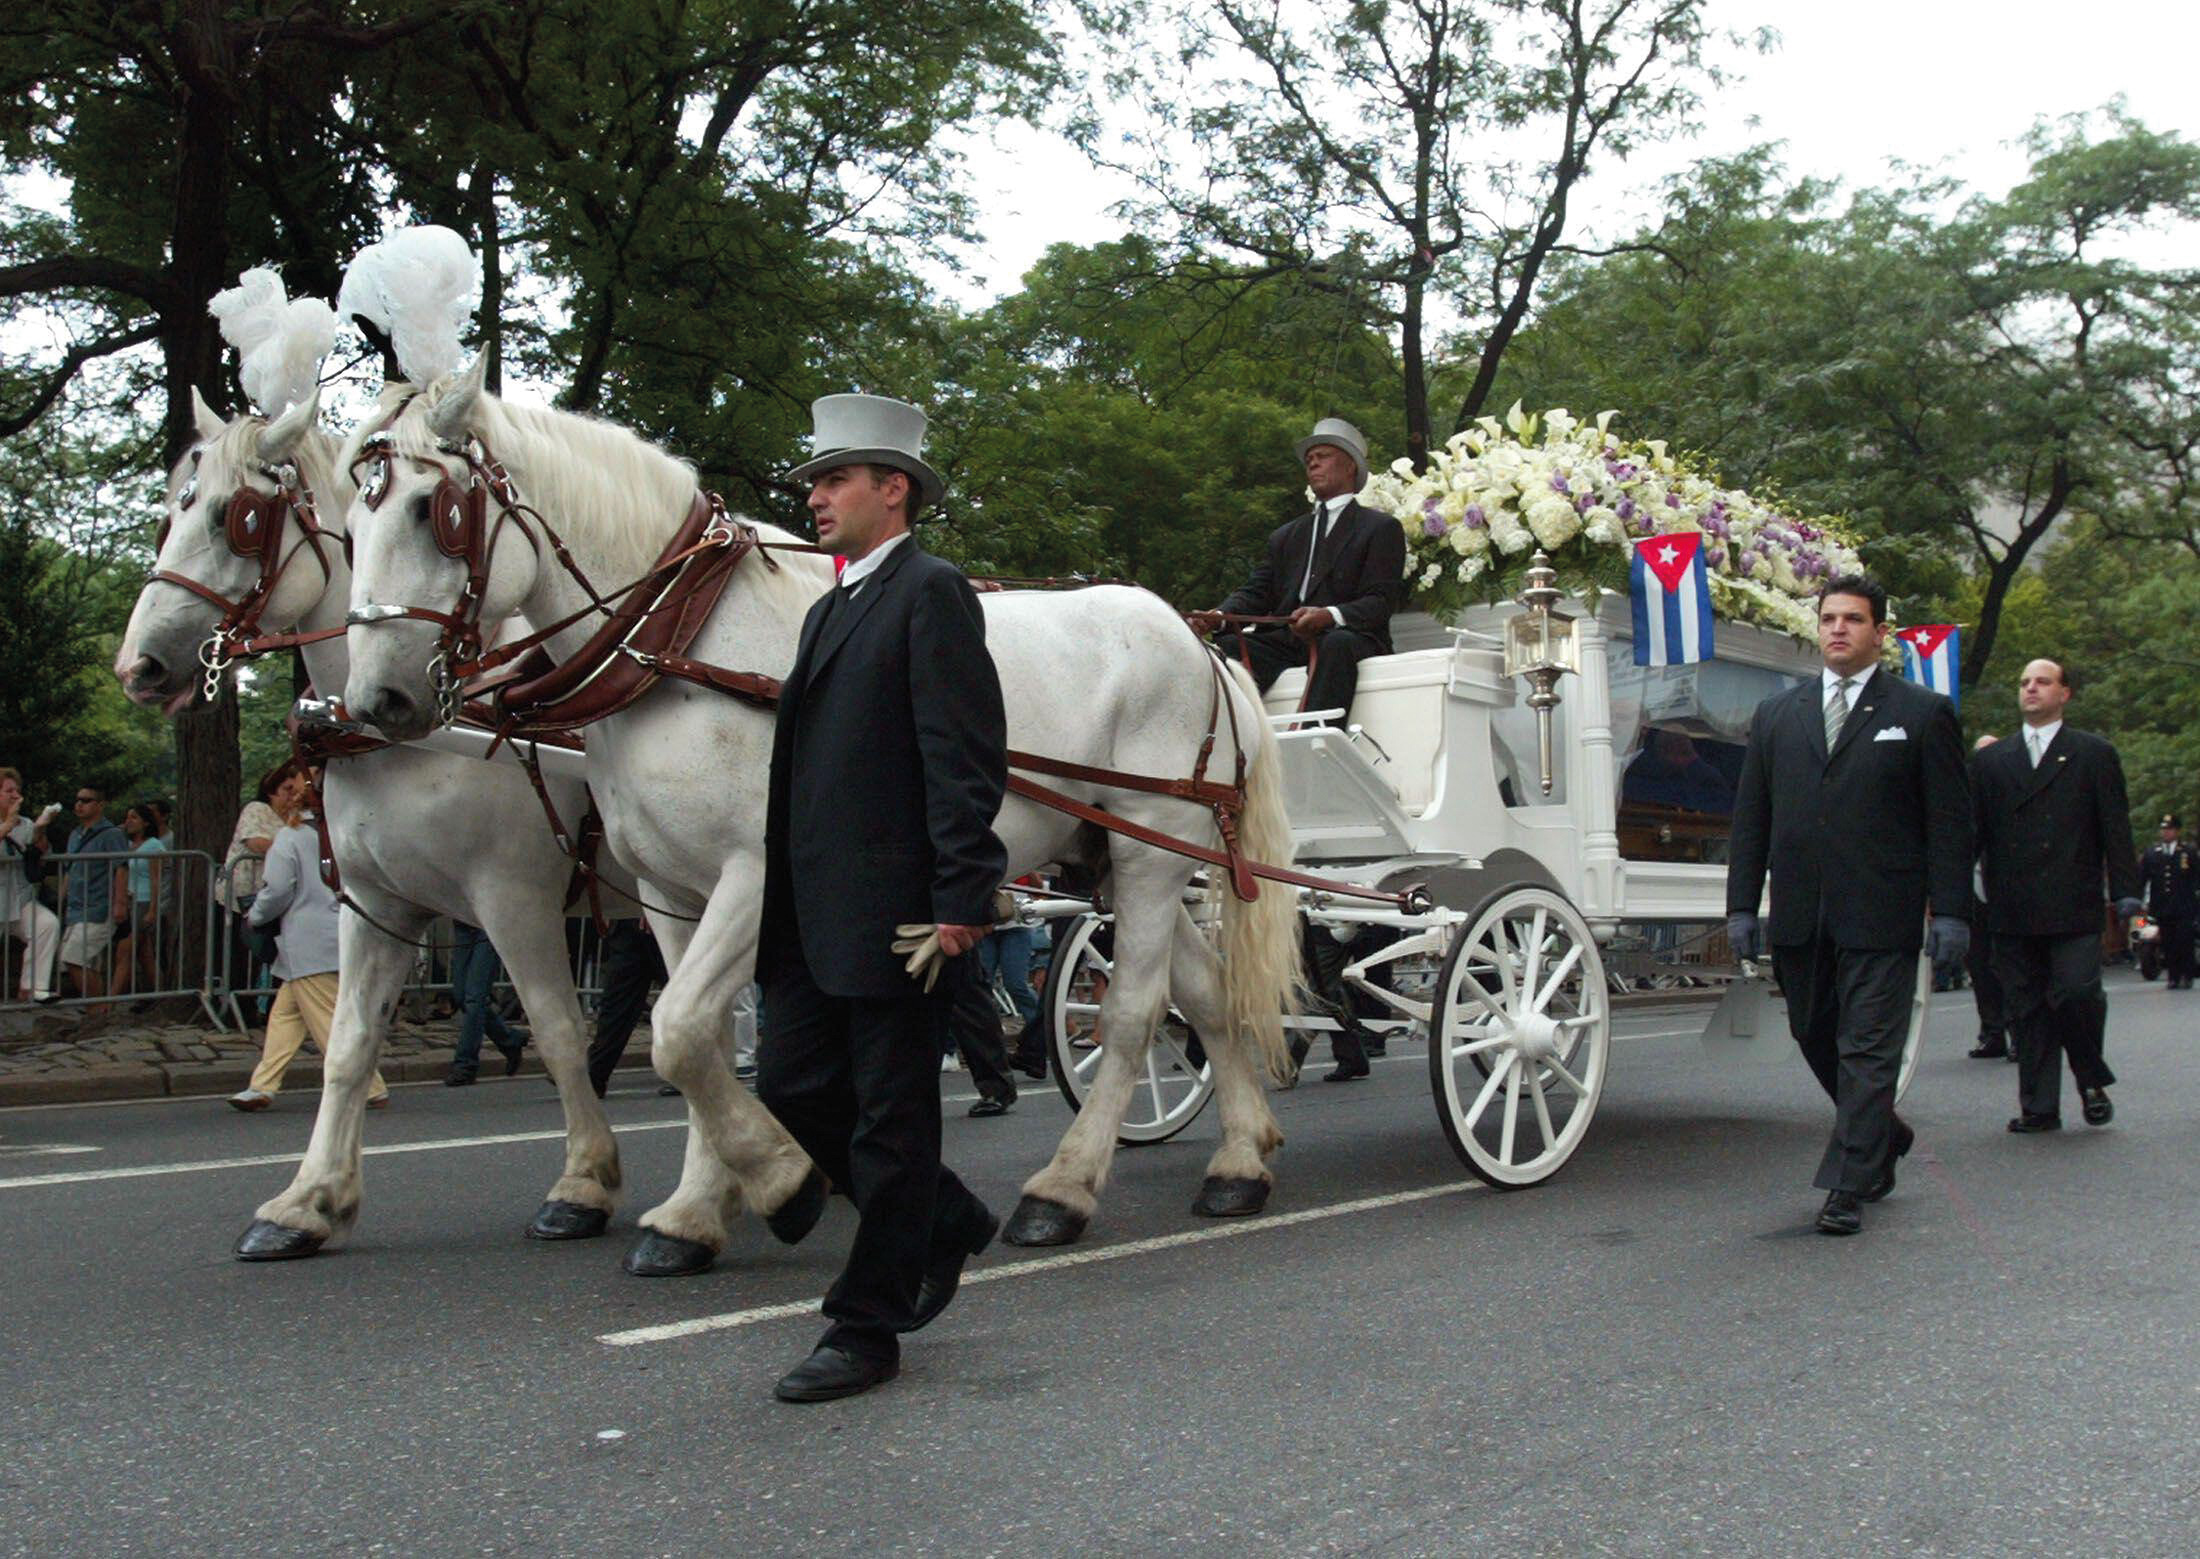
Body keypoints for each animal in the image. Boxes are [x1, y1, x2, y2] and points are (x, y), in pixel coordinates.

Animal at [116, 387, 629, 1248]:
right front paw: (309, 1198)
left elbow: (559, 1030)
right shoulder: (376, 901)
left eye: (237, 516)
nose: (139, 666)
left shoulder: (515, 898)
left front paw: (584, 1180)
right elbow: (349, 1044)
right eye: (168, 513)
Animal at [343, 358, 1302, 1257]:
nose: (377, 700)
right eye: (350, 522)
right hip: (1108, 849)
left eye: (434, 510)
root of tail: (1200, 641)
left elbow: (681, 1029)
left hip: (1155, 848)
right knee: (1203, 993)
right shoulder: (668, 894)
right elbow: (693, 1038)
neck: (680, 646)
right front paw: (696, 1212)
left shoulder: (757, 876)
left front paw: (782, 1179)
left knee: (1135, 1010)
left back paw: (1061, 1190)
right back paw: (1240, 1160)